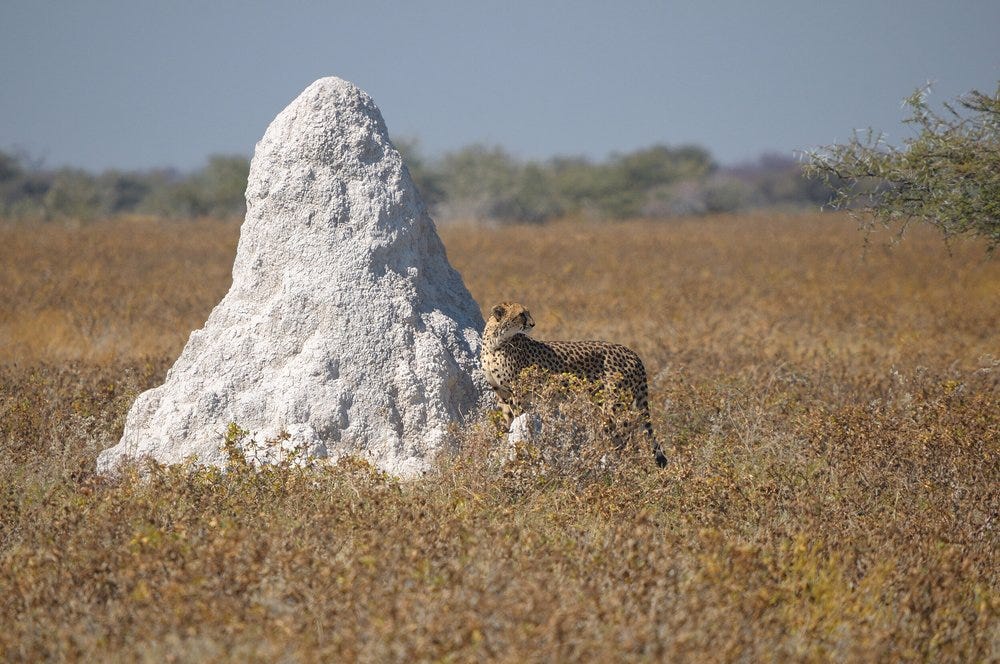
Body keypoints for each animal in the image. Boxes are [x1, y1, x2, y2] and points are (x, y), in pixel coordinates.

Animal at [482, 300, 668, 466]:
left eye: (527, 312)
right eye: (521, 314)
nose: (533, 324)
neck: (495, 342)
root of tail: (631, 352)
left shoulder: (518, 391)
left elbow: (519, 416)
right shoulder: (502, 391)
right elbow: (509, 418)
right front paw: (507, 439)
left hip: (615, 405)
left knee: (628, 436)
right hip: (602, 401)